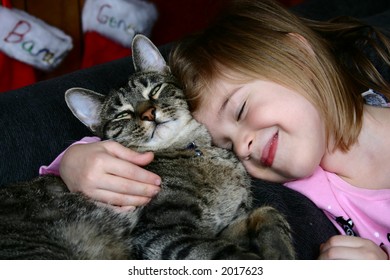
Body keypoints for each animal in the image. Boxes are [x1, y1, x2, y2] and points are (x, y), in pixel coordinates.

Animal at [0, 35, 294, 260]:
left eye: (154, 90)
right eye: (122, 114)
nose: (149, 113)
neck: (197, 152)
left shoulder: (225, 225)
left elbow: (268, 213)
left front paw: (281, 249)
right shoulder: (162, 232)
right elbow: (230, 254)